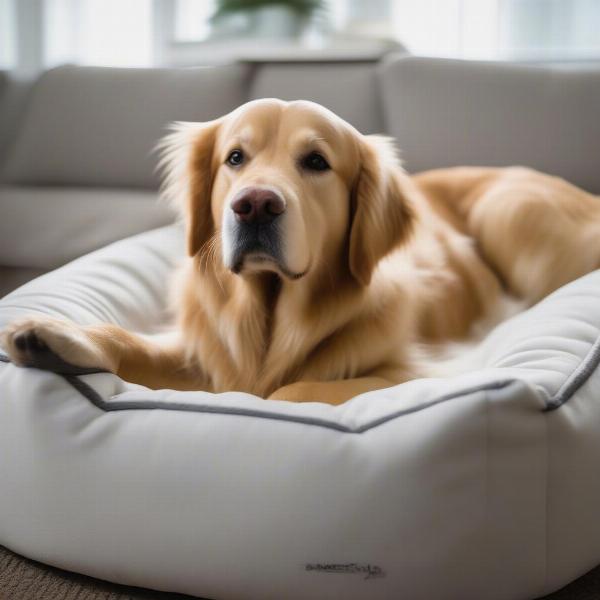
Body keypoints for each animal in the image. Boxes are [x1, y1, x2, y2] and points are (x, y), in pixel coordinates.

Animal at [2, 101, 596, 406]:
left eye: (316, 162)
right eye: (234, 158)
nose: (255, 205)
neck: (271, 315)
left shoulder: (430, 369)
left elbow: (296, 391)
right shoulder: (204, 350)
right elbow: (134, 343)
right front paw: (58, 337)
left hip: (511, 209)